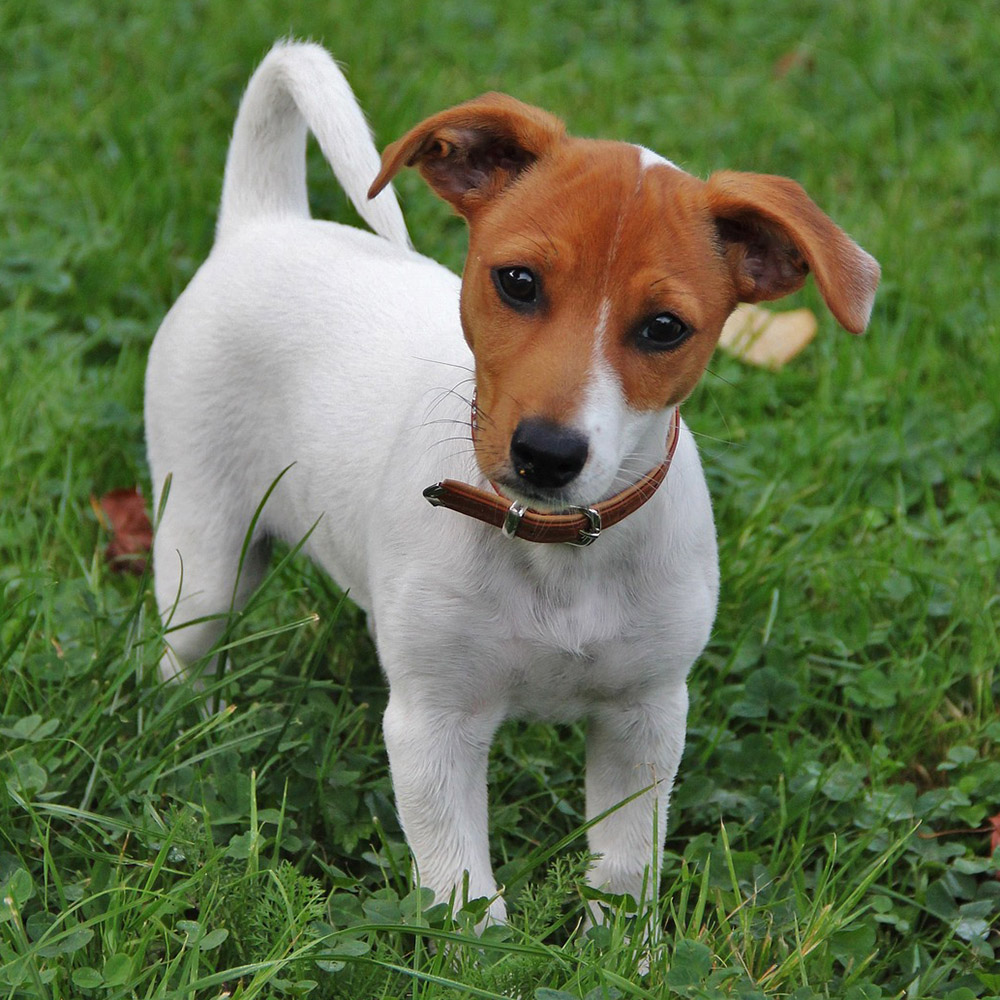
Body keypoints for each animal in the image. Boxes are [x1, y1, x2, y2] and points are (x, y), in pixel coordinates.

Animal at [145, 41, 880, 928]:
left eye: (664, 328)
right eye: (518, 282)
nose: (547, 453)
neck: (552, 543)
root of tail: (264, 223)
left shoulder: (645, 718)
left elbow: (625, 871)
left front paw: (623, 948)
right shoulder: (434, 728)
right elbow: (462, 892)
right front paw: (483, 947)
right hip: (201, 552)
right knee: (183, 656)